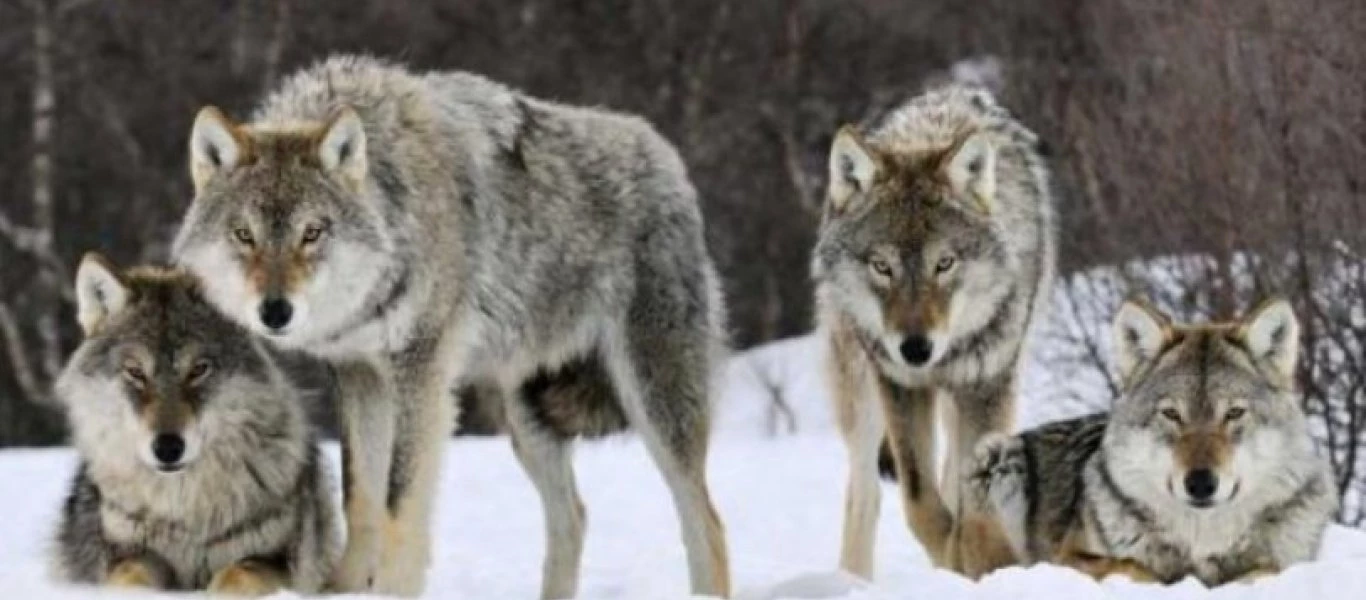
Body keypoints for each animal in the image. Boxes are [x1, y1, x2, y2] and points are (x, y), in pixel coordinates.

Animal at [50, 254, 338, 595]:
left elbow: (236, 576)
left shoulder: (272, 561)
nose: (168, 448)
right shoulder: (129, 555)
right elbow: (130, 577)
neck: (185, 511)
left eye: (199, 370)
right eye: (135, 372)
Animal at [174, 53, 732, 598]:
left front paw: (392, 590)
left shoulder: (420, 372)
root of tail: (667, 158)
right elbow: (361, 498)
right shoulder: (359, 374)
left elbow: (399, 505)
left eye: (312, 233)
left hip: (654, 402)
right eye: (244, 235)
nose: (275, 312)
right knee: (573, 516)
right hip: (526, 420)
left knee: (706, 521)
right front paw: (345, 588)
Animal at [808, 83, 1054, 576]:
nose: (916, 349)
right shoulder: (900, 385)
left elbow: (973, 505)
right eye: (882, 266)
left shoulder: (988, 385)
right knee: (865, 493)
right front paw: (952, 556)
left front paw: (977, 561)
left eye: (945, 263)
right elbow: (920, 501)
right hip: (861, 393)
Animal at [972, 300, 1333, 587]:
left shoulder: (1286, 563)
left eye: (1234, 413)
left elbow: (1266, 570)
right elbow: (1134, 566)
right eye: (1172, 414)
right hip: (997, 458)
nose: (1201, 483)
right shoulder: (1068, 557)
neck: (1201, 541)